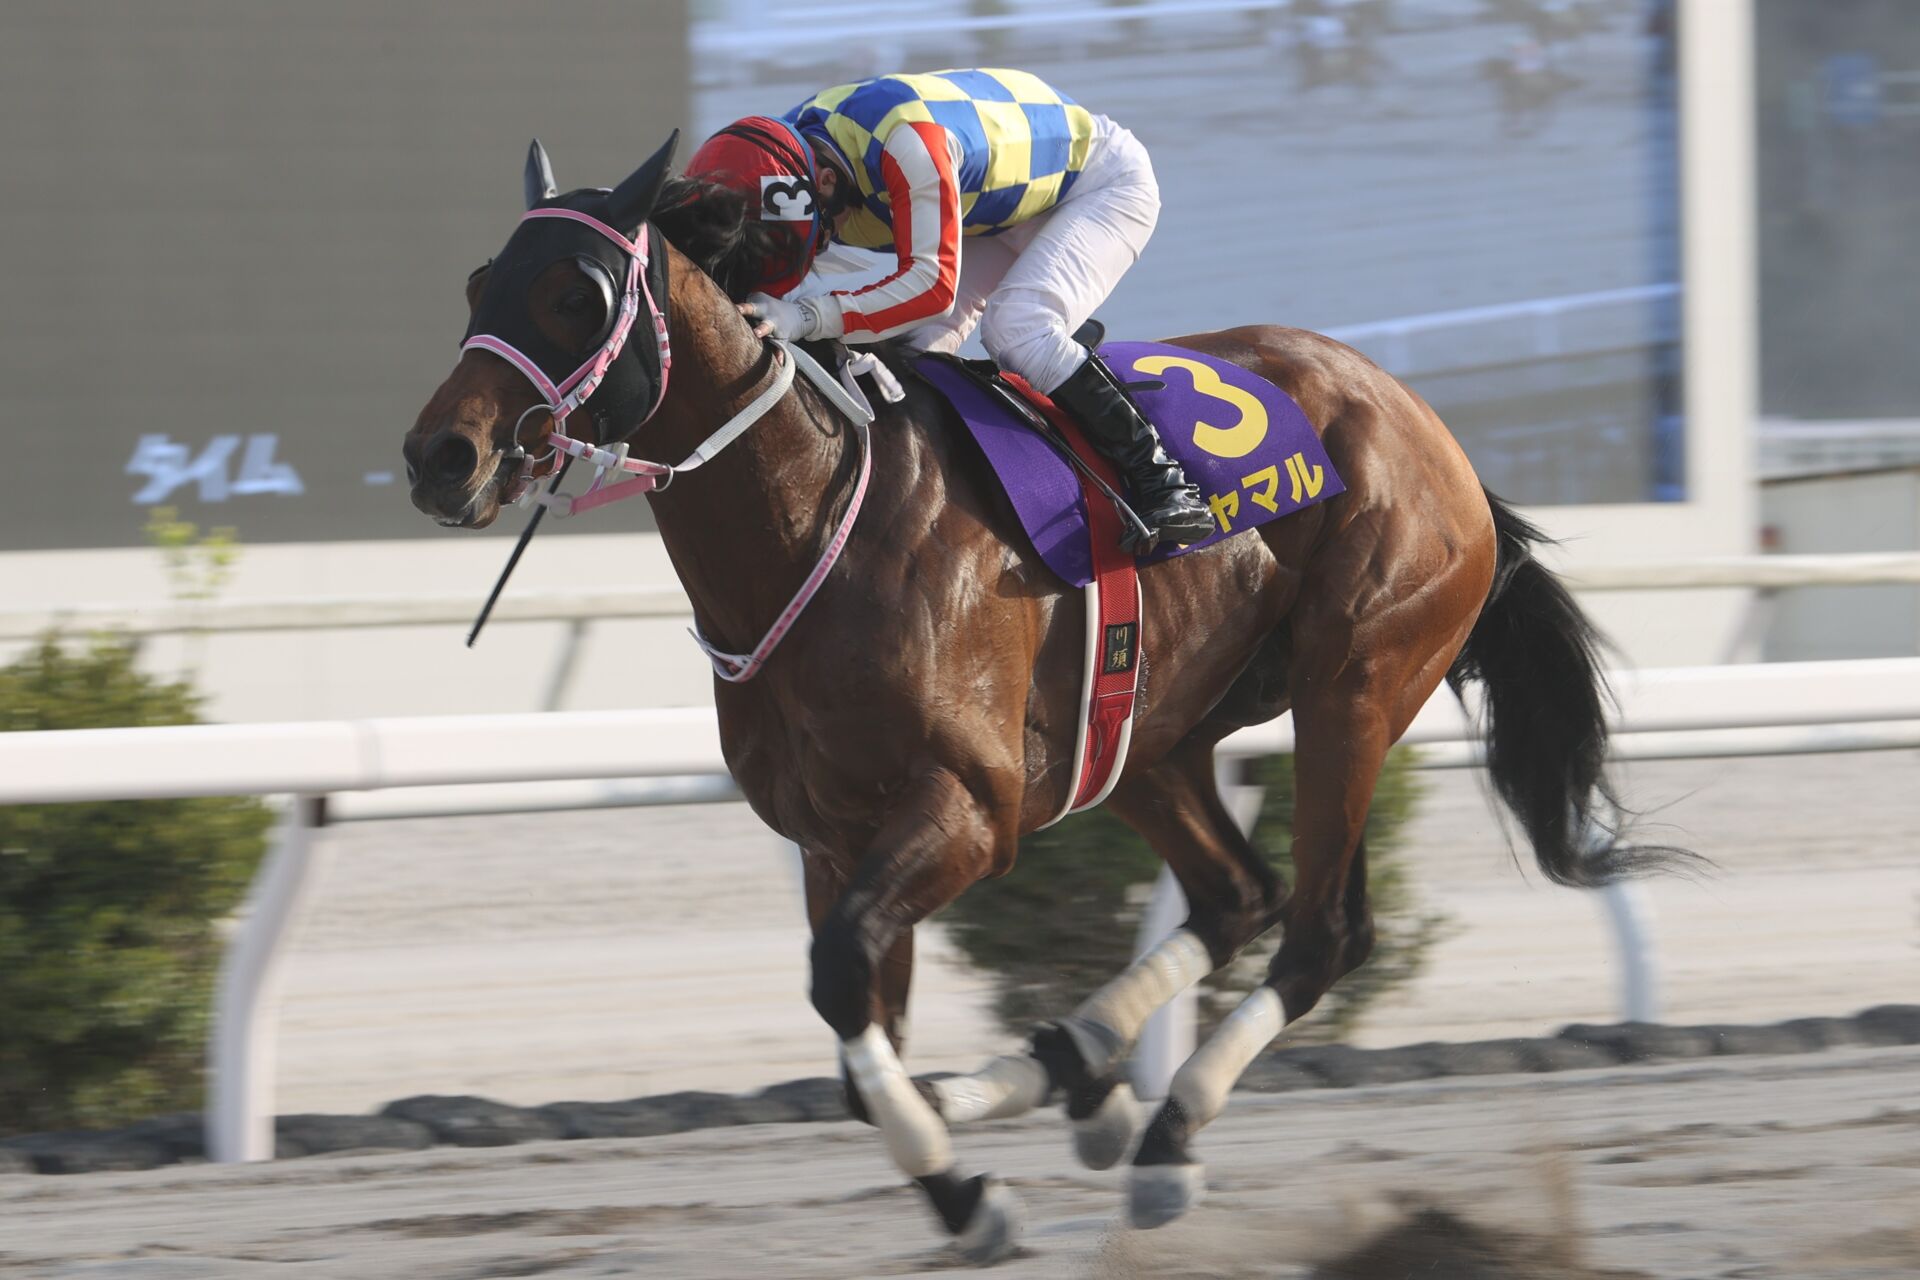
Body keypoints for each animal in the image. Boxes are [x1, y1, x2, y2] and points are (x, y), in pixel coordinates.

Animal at [403, 133, 1689, 1262]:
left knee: (1322, 925)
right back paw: (1063, 1079)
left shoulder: (972, 807)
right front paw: (974, 1142)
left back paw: (1160, 1134)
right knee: (1238, 892)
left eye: (575, 292)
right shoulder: (831, 832)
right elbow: (853, 1023)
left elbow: (842, 976)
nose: (439, 457)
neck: (815, 521)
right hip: (1151, 730)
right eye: (476, 282)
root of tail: (1434, 433)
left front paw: (967, 1190)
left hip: (1356, 686)